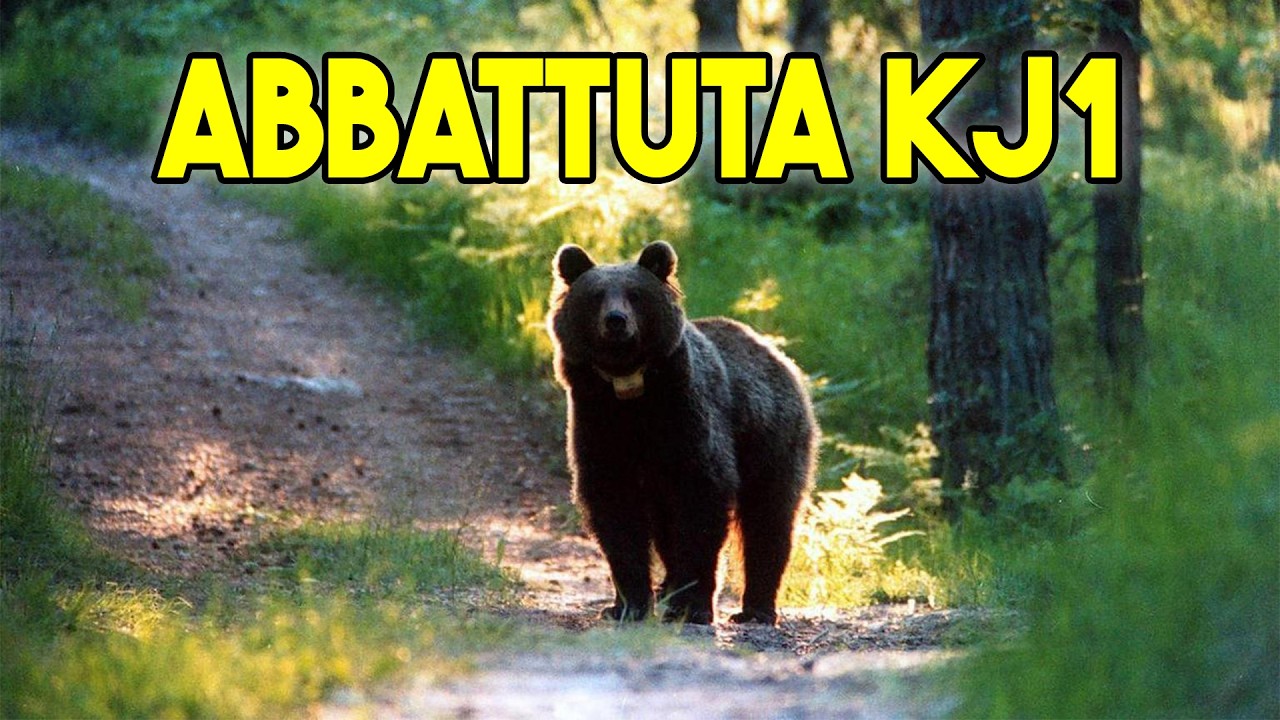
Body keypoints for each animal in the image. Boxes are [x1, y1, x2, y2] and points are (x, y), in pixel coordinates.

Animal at [547, 240, 817, 625]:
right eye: (596, 295)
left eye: (635, 294)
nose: (616, 321)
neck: (631, 392)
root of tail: (777, 354)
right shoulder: (599, 424)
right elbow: (615, 513)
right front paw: (627, 604)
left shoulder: (687, 421)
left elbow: (701, 505)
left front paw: (692, 606)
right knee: (666, 528)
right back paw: (666, 589)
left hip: (772, 440)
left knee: (769, 518)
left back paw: (756, 608)